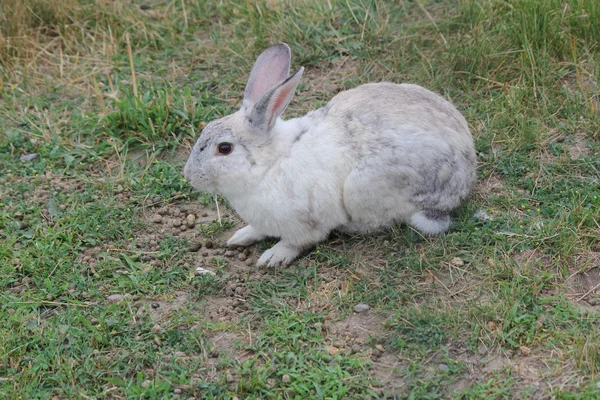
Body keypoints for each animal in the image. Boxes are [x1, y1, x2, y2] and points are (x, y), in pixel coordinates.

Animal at [183, 43, 478, 268]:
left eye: (224, 148)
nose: (188, 176)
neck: (269, 165)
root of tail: (465, 178)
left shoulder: (306, 223)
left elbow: (299, 241)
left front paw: (272, 257)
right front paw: (240, 237)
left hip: (364, 189)